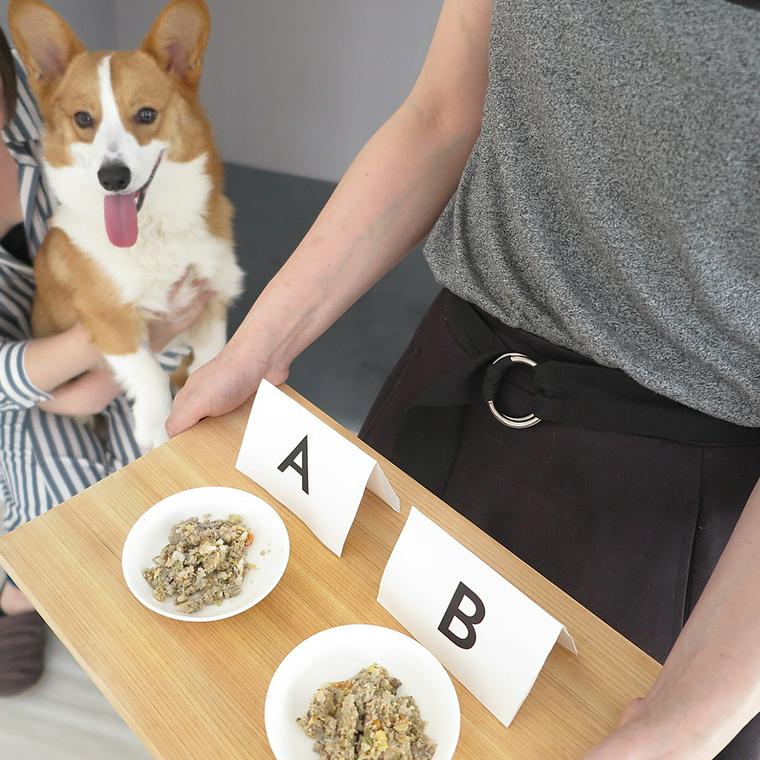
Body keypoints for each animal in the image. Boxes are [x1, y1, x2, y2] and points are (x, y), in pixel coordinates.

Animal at [10, 0, 245, 452]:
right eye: (84, 119)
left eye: (147, 114)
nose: (113, 178)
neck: (153, 231)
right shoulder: (108, 317)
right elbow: (147, 371)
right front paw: (155, 427)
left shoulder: (211, 298)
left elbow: (212, 356)